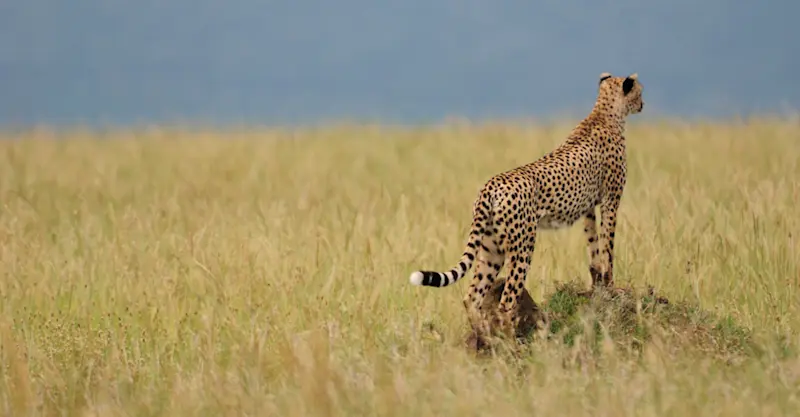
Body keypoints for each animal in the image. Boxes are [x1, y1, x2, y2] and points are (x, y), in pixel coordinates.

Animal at [408, 72, 644, 337]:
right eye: (640, 91)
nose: (643, 104)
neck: (604, 112)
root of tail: (491, 184)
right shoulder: (610, 201)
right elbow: (607, 247)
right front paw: (612, 285)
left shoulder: (589, 209)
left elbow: (594, 246)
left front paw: (598, 284)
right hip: (523, 245)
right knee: (507, 299)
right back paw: (510, 338)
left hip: (491, 248)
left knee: (472, 295)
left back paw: (484, 335)